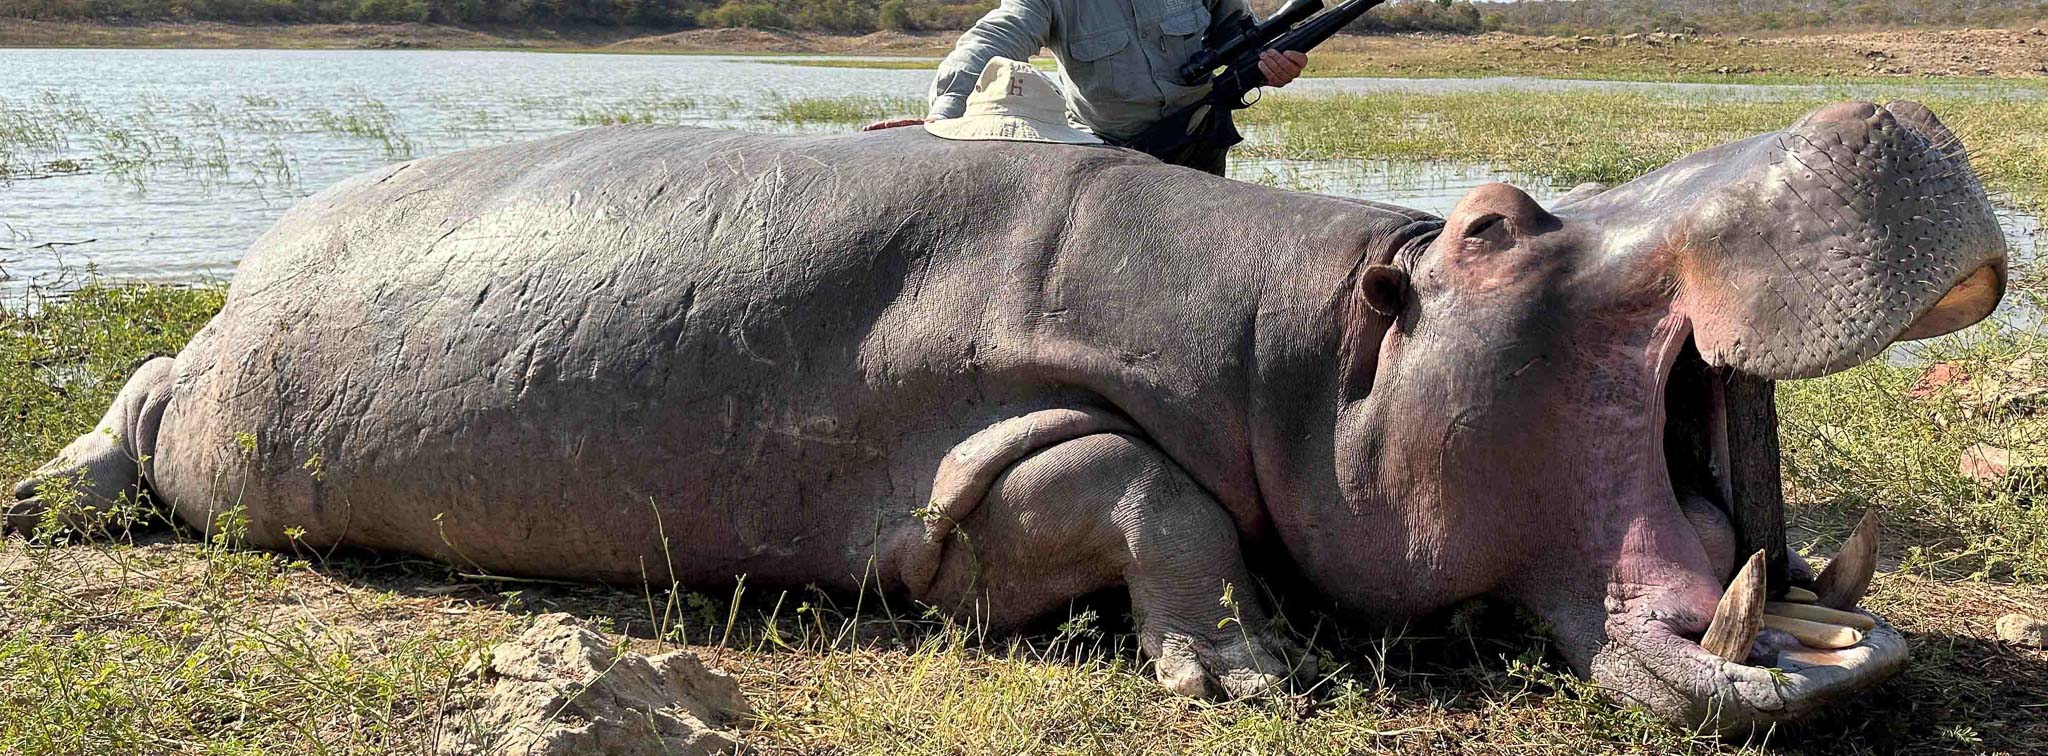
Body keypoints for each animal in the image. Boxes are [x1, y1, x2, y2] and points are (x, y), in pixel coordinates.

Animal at [8, 97, 2007, 729]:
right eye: (1501, 221)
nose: (1883, 113)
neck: (1307, 348)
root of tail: (260, 259)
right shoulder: (987, 454)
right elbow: (1153, 492)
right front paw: (1252, 675)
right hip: (211, 398)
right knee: (136, 395)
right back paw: (46, 500)